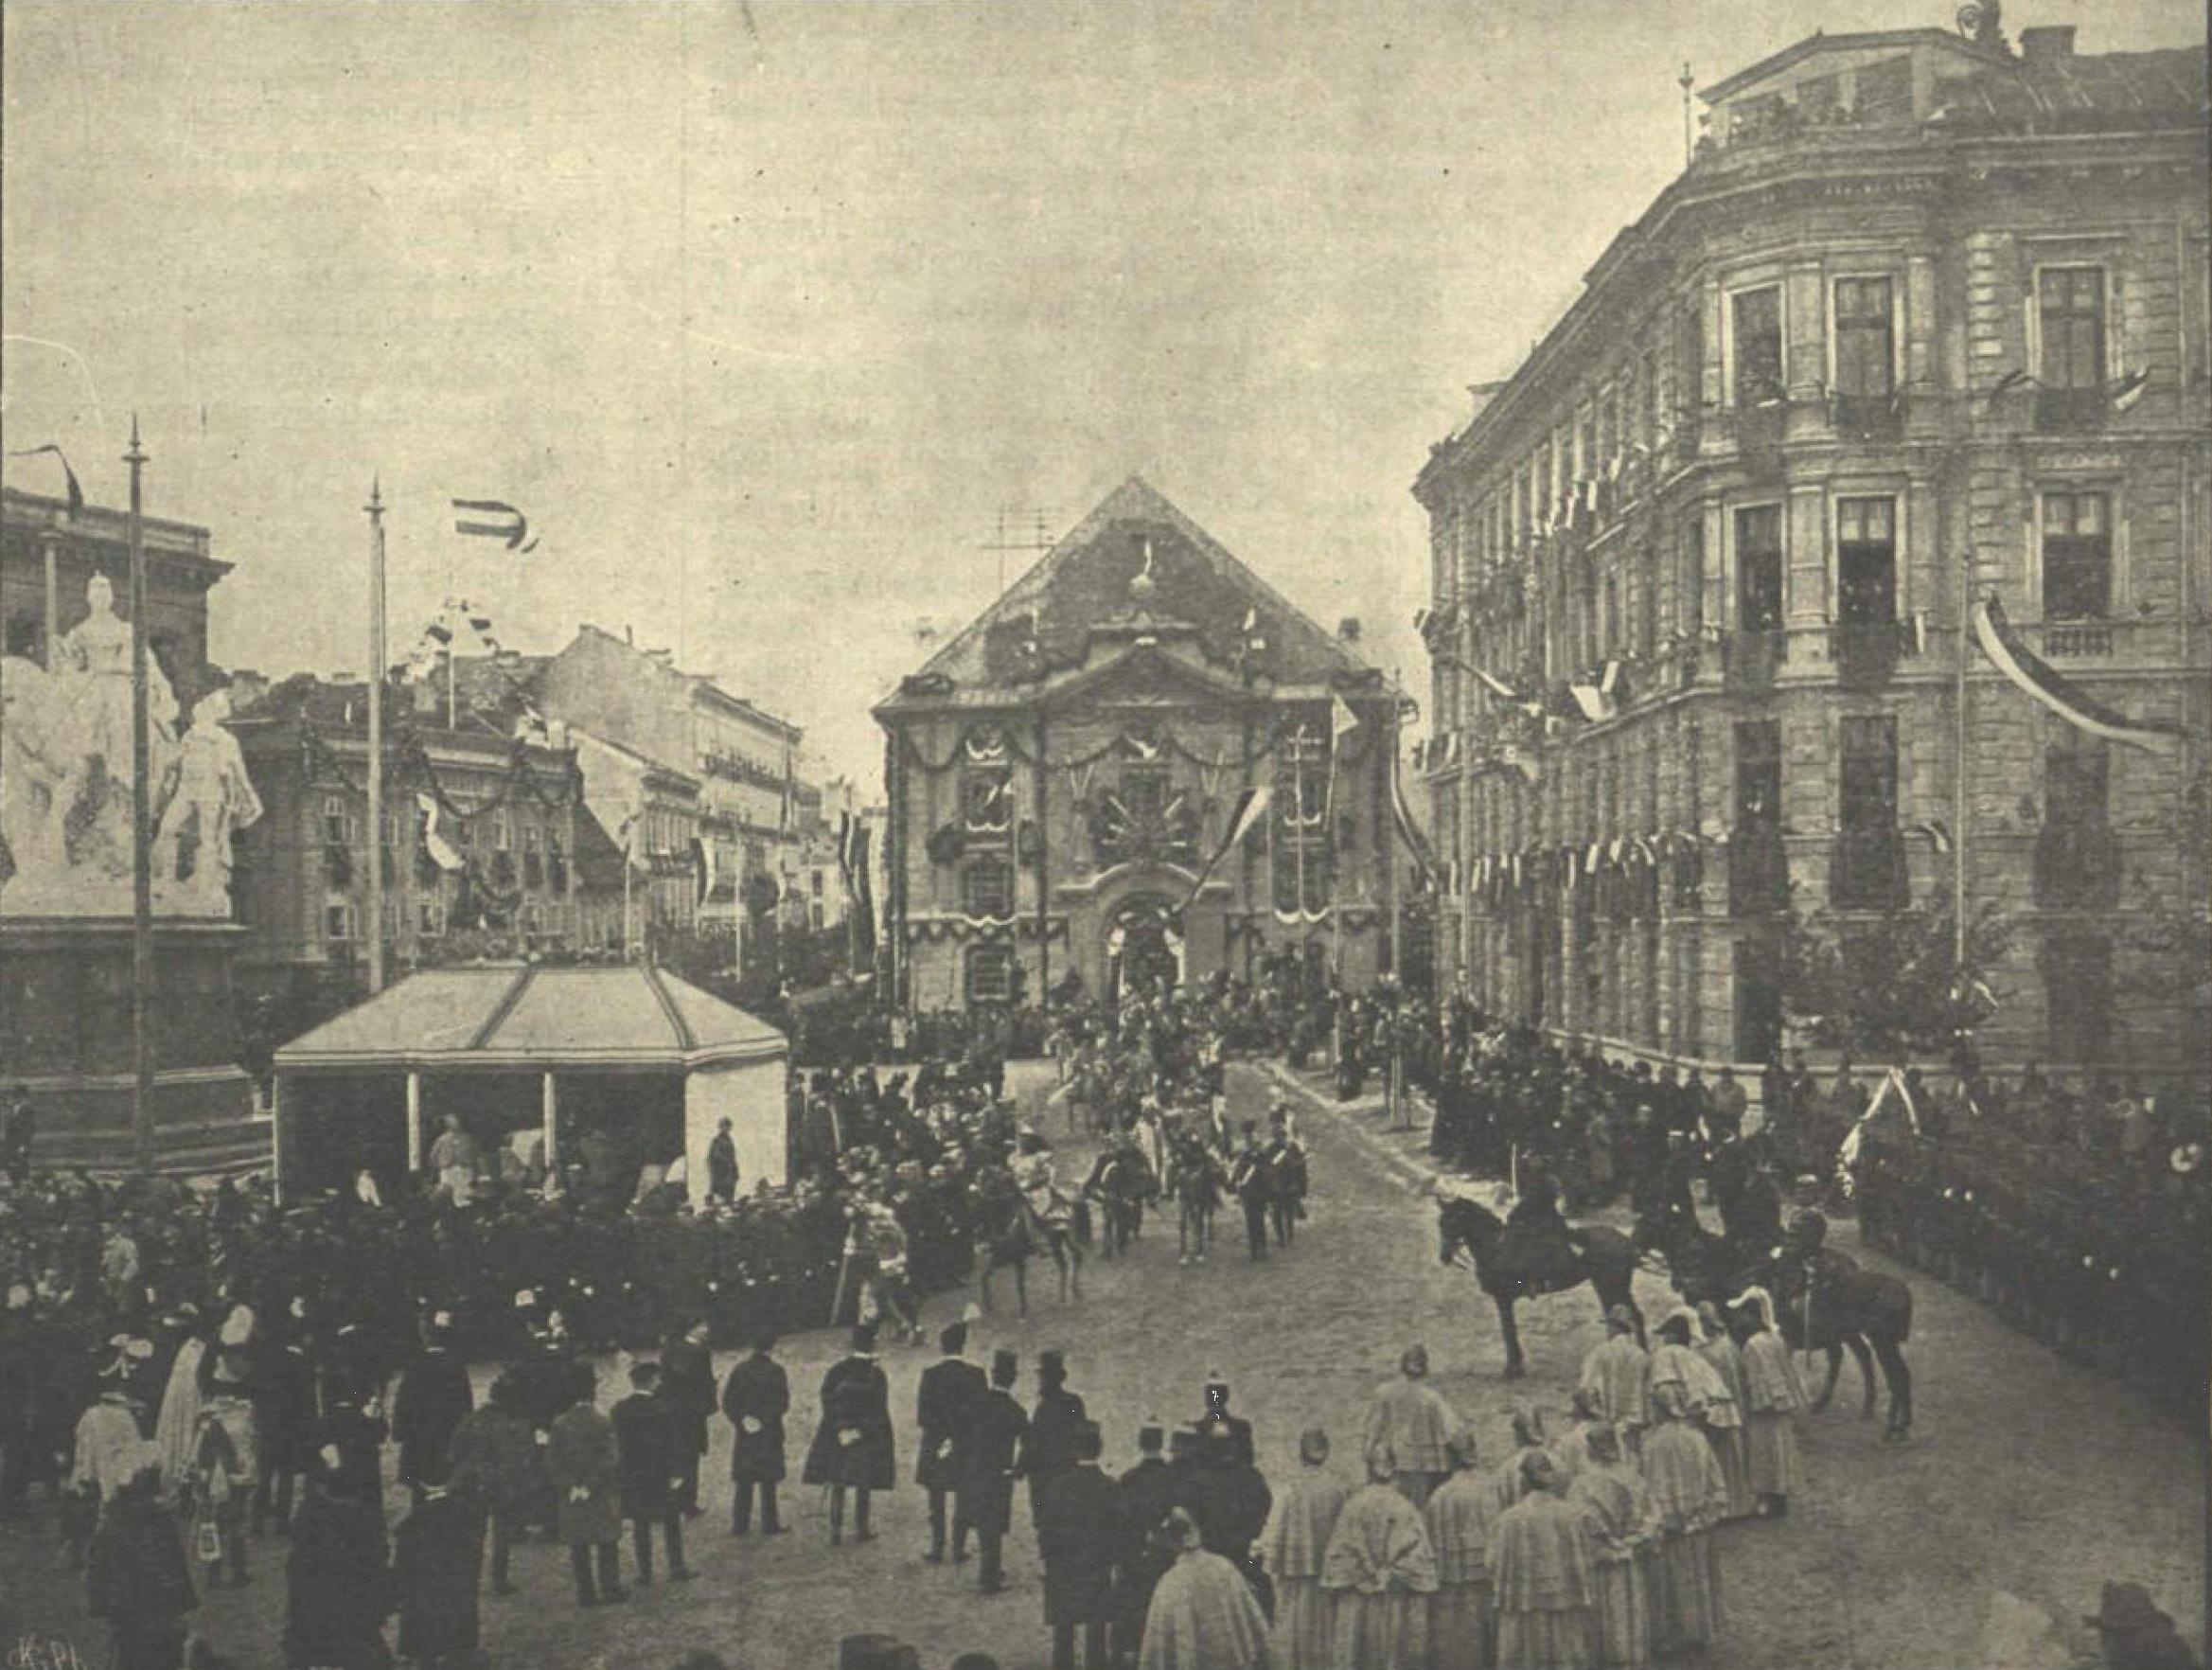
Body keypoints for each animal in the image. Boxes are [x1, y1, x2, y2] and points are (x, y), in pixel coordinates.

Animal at [1433, 1203, 1645, 1389]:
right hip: (1611, 1287)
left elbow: (1508, 1331)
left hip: (1610, 1286)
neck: (1496, 1245)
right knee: (1626, 1318)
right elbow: (1510, 1330)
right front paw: (1516, 1368)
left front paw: (1512, 1370)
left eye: (1453, 1223)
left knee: (1630, 1318)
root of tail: (1626, 1241)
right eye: (1440, 1223)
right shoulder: (1505, 1300)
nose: (1444, 1257)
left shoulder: (1503, 1299)